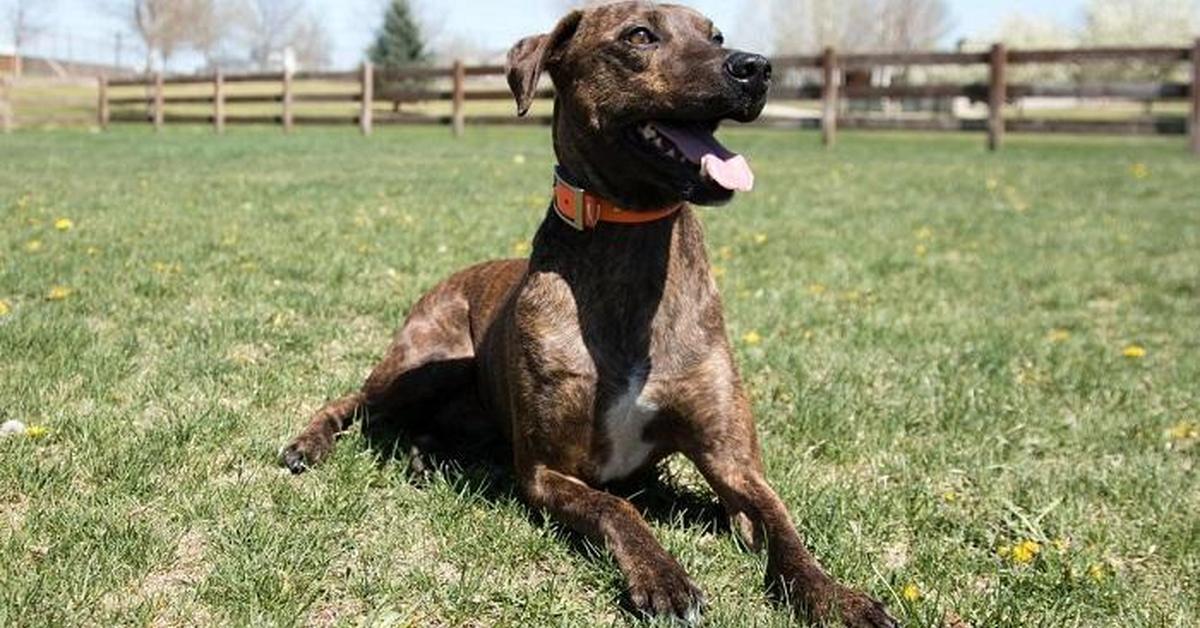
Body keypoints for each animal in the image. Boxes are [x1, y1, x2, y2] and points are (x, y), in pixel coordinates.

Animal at [283, 2, 892, 624]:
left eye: (715, 34)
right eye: (639, 35)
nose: (756, 67)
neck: (632, 239)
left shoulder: (733, 463)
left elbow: (782, 527)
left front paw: (833, 594)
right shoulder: (547, 471)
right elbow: (616, 508)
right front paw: (663, 576)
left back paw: (429, 458)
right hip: (425, 362)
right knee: (353, 402)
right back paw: (310, 445)